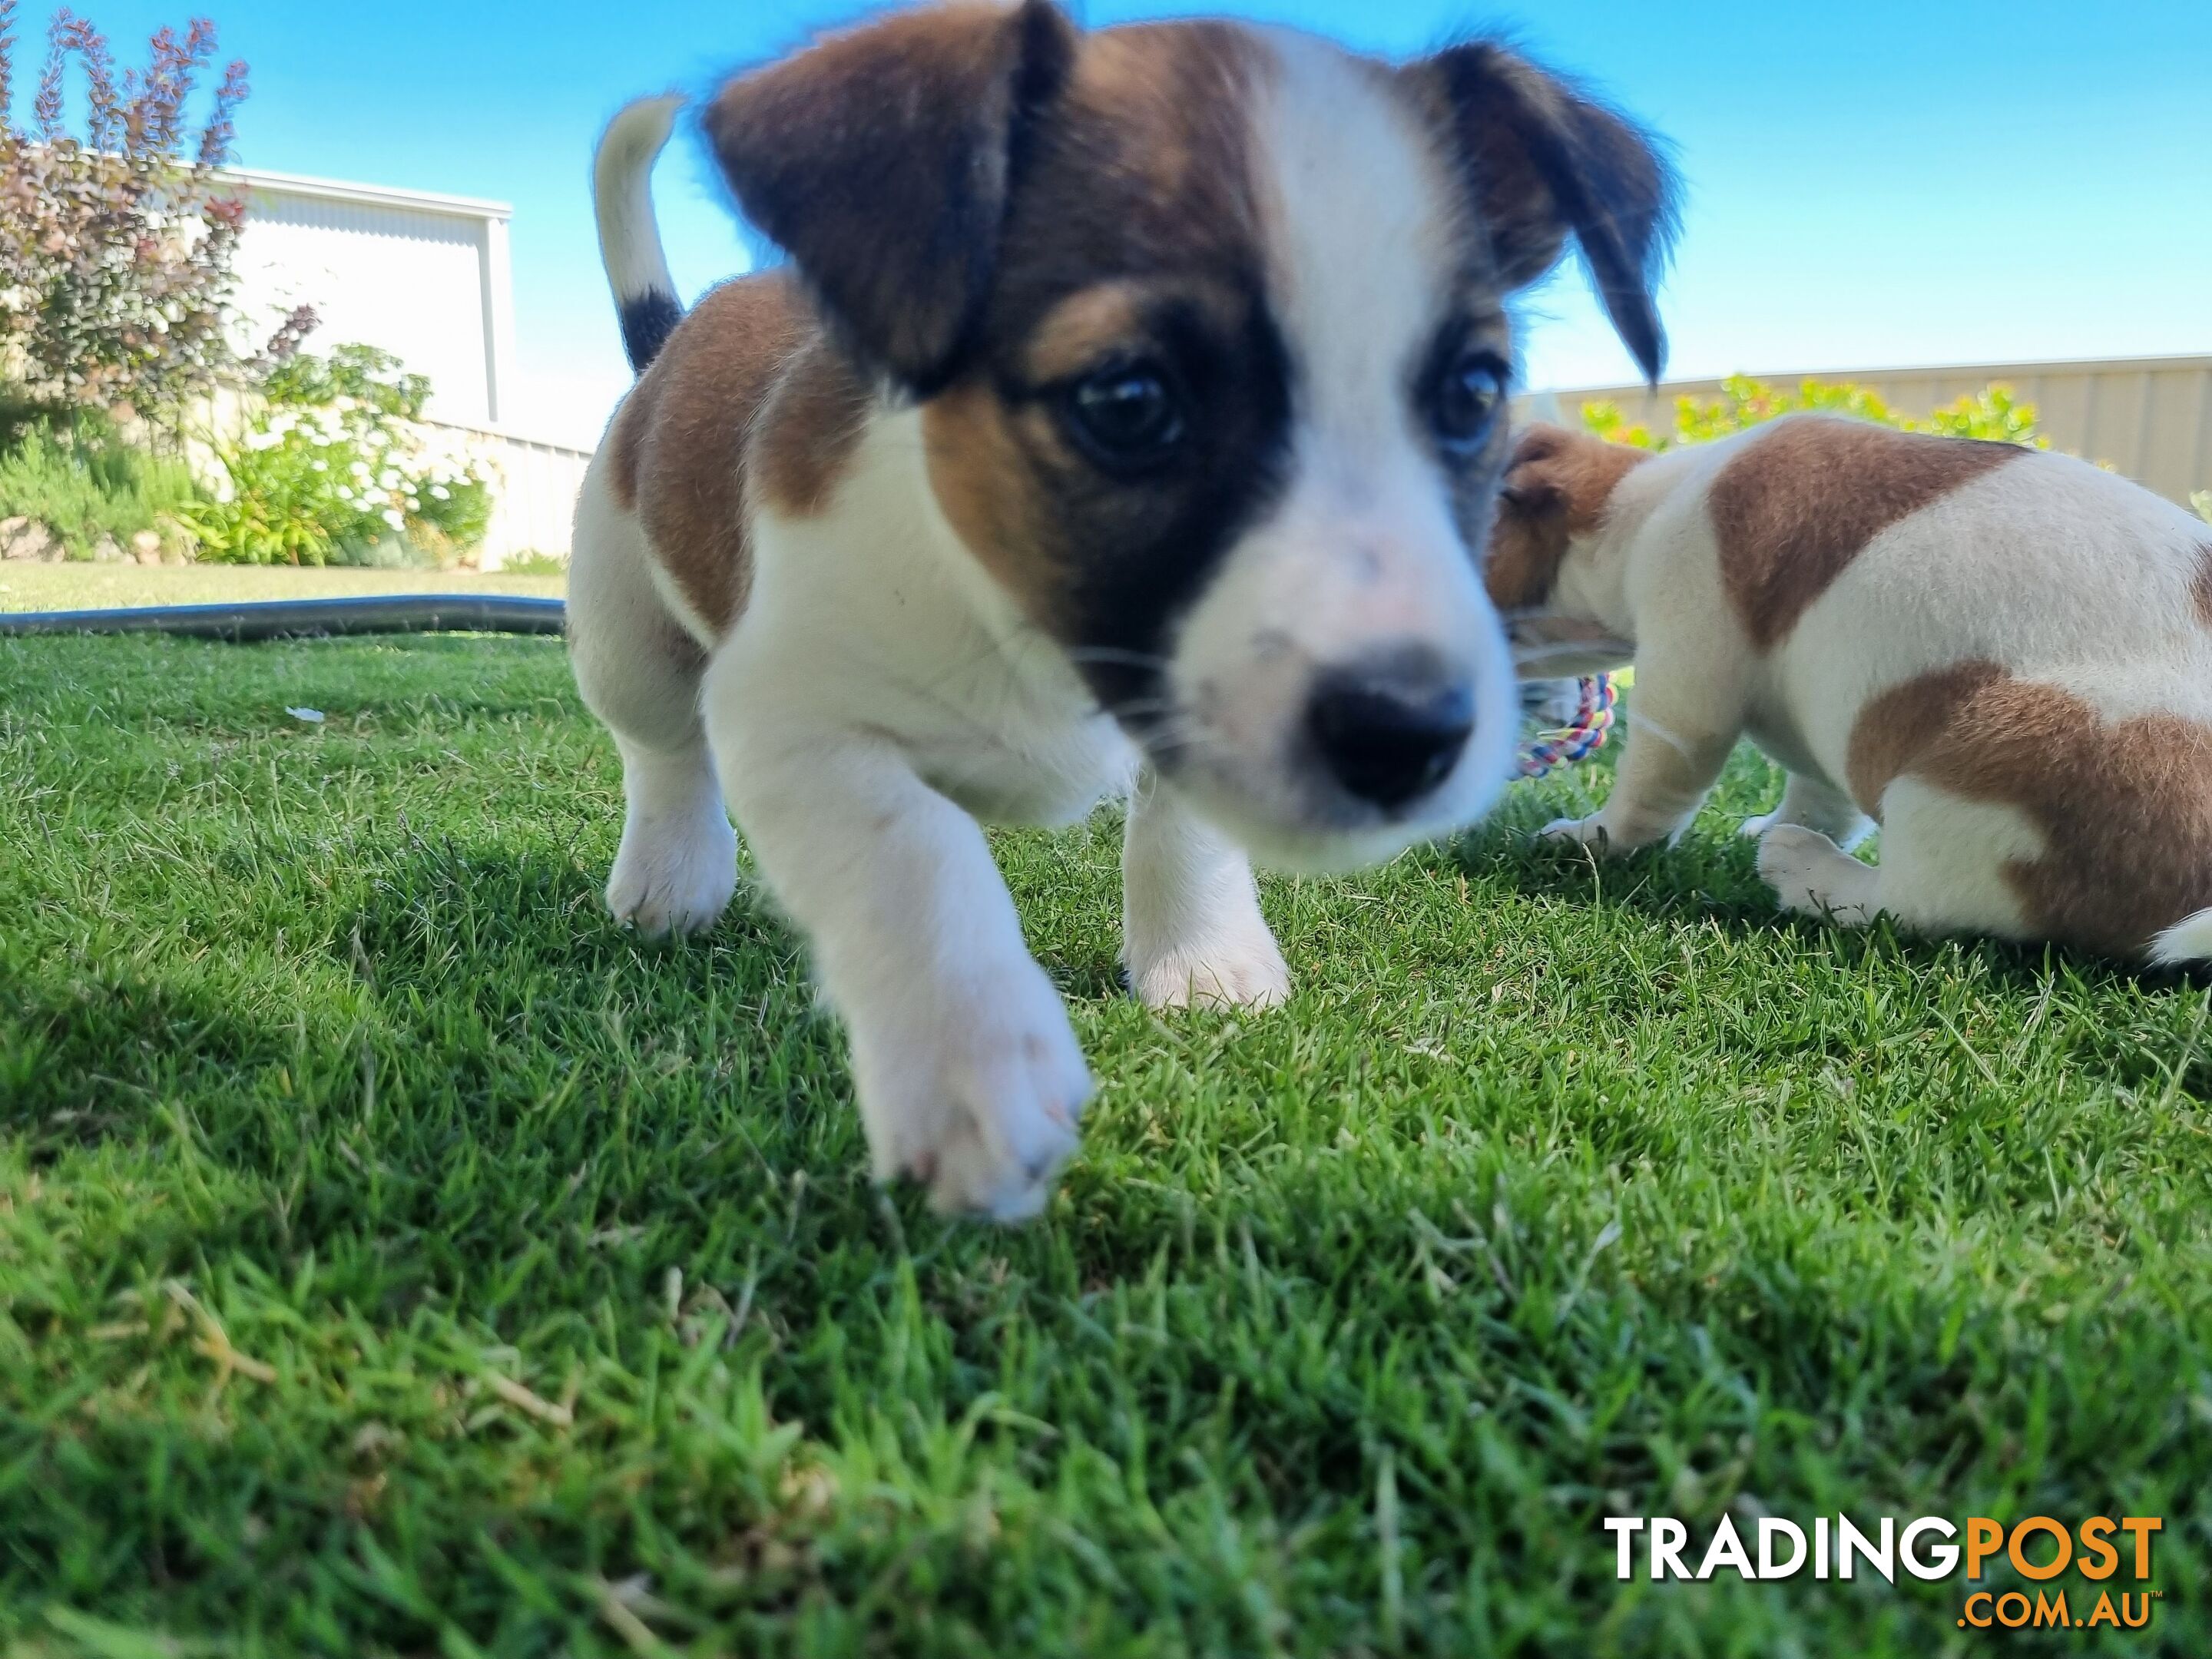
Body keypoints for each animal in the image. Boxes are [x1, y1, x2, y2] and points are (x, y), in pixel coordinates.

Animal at [571, 0, 1672, 1220]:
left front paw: (1202, 959)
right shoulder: (791, 712)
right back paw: (672, 875)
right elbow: (914, 855)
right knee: (665, 754)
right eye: (1129, 399)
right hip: (627, 640)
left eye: (1475, 393)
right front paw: (974, 1061)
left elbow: (1182, 829)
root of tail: (674, 344)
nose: (1410, 737)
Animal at [1486, 416, 2212, 969]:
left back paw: (1806, 869)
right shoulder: (1825, 738)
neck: (1638, 511)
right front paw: (1776, 820)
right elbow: (1820, 798)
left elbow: (1648, 792)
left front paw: (1592, 837)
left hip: (1983, 768)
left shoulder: (1682, 699)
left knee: (1916, 905)